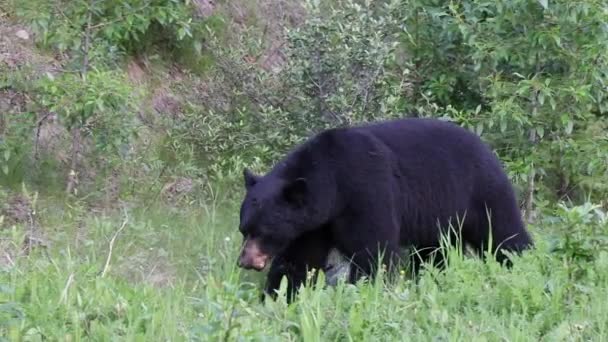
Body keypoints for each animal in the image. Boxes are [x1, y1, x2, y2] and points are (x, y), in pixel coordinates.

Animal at [236, 117, 532, 302]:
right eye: (244, 229)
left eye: (264, 231)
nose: (245, 261)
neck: (334, 184)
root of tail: (486, 147)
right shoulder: (313, 223)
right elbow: (298, 260)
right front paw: (276, 298)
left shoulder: (367, 193)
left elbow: (373, 251)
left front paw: (364, 292)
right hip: (439, 217)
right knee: (433, 253)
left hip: (480, 191)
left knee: (503, 233)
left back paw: (523, 264)